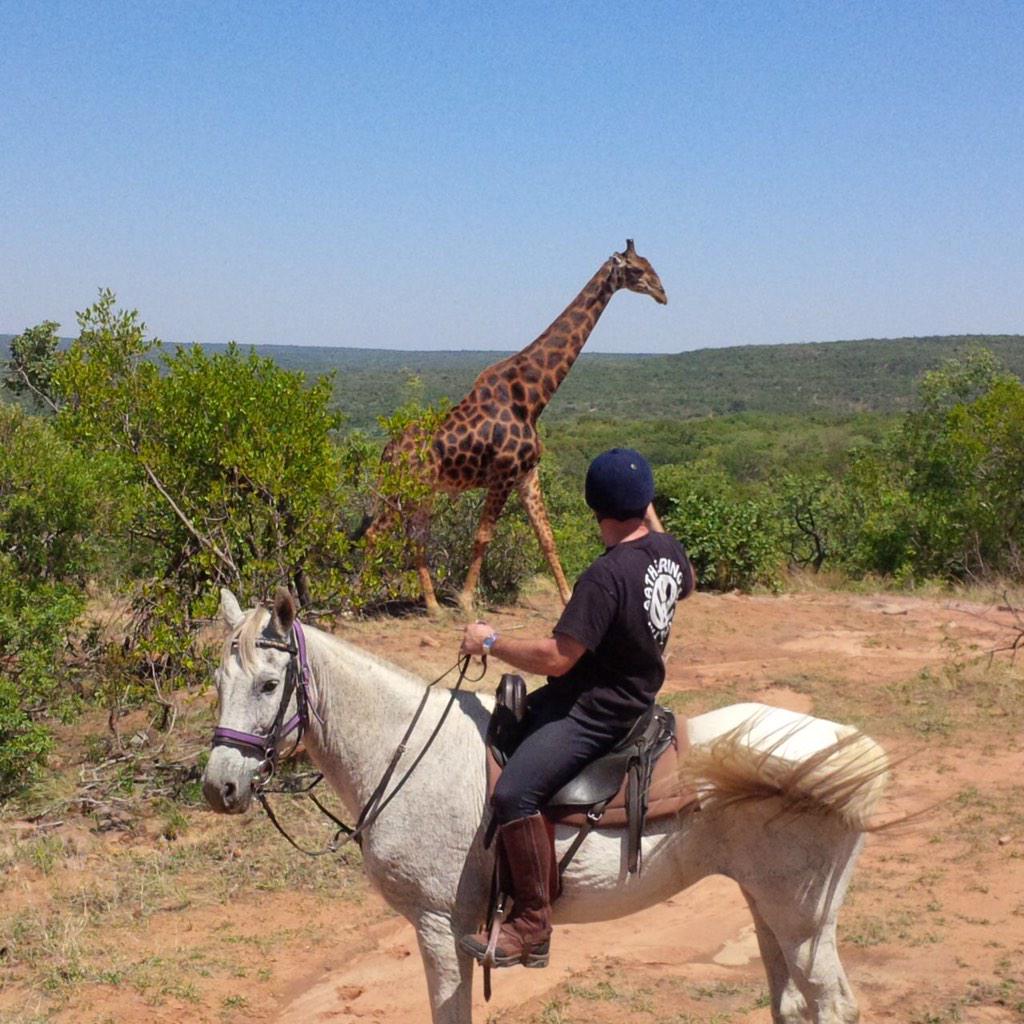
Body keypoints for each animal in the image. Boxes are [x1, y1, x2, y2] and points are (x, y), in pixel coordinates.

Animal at [202, 589, 890, 1024]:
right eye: (217, 682)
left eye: (269, 684)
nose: (219, 788)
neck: (410, 755)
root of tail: (855, 750)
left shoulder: (438, 925)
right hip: (767, 903)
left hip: (803, 918)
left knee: (831, 1004)